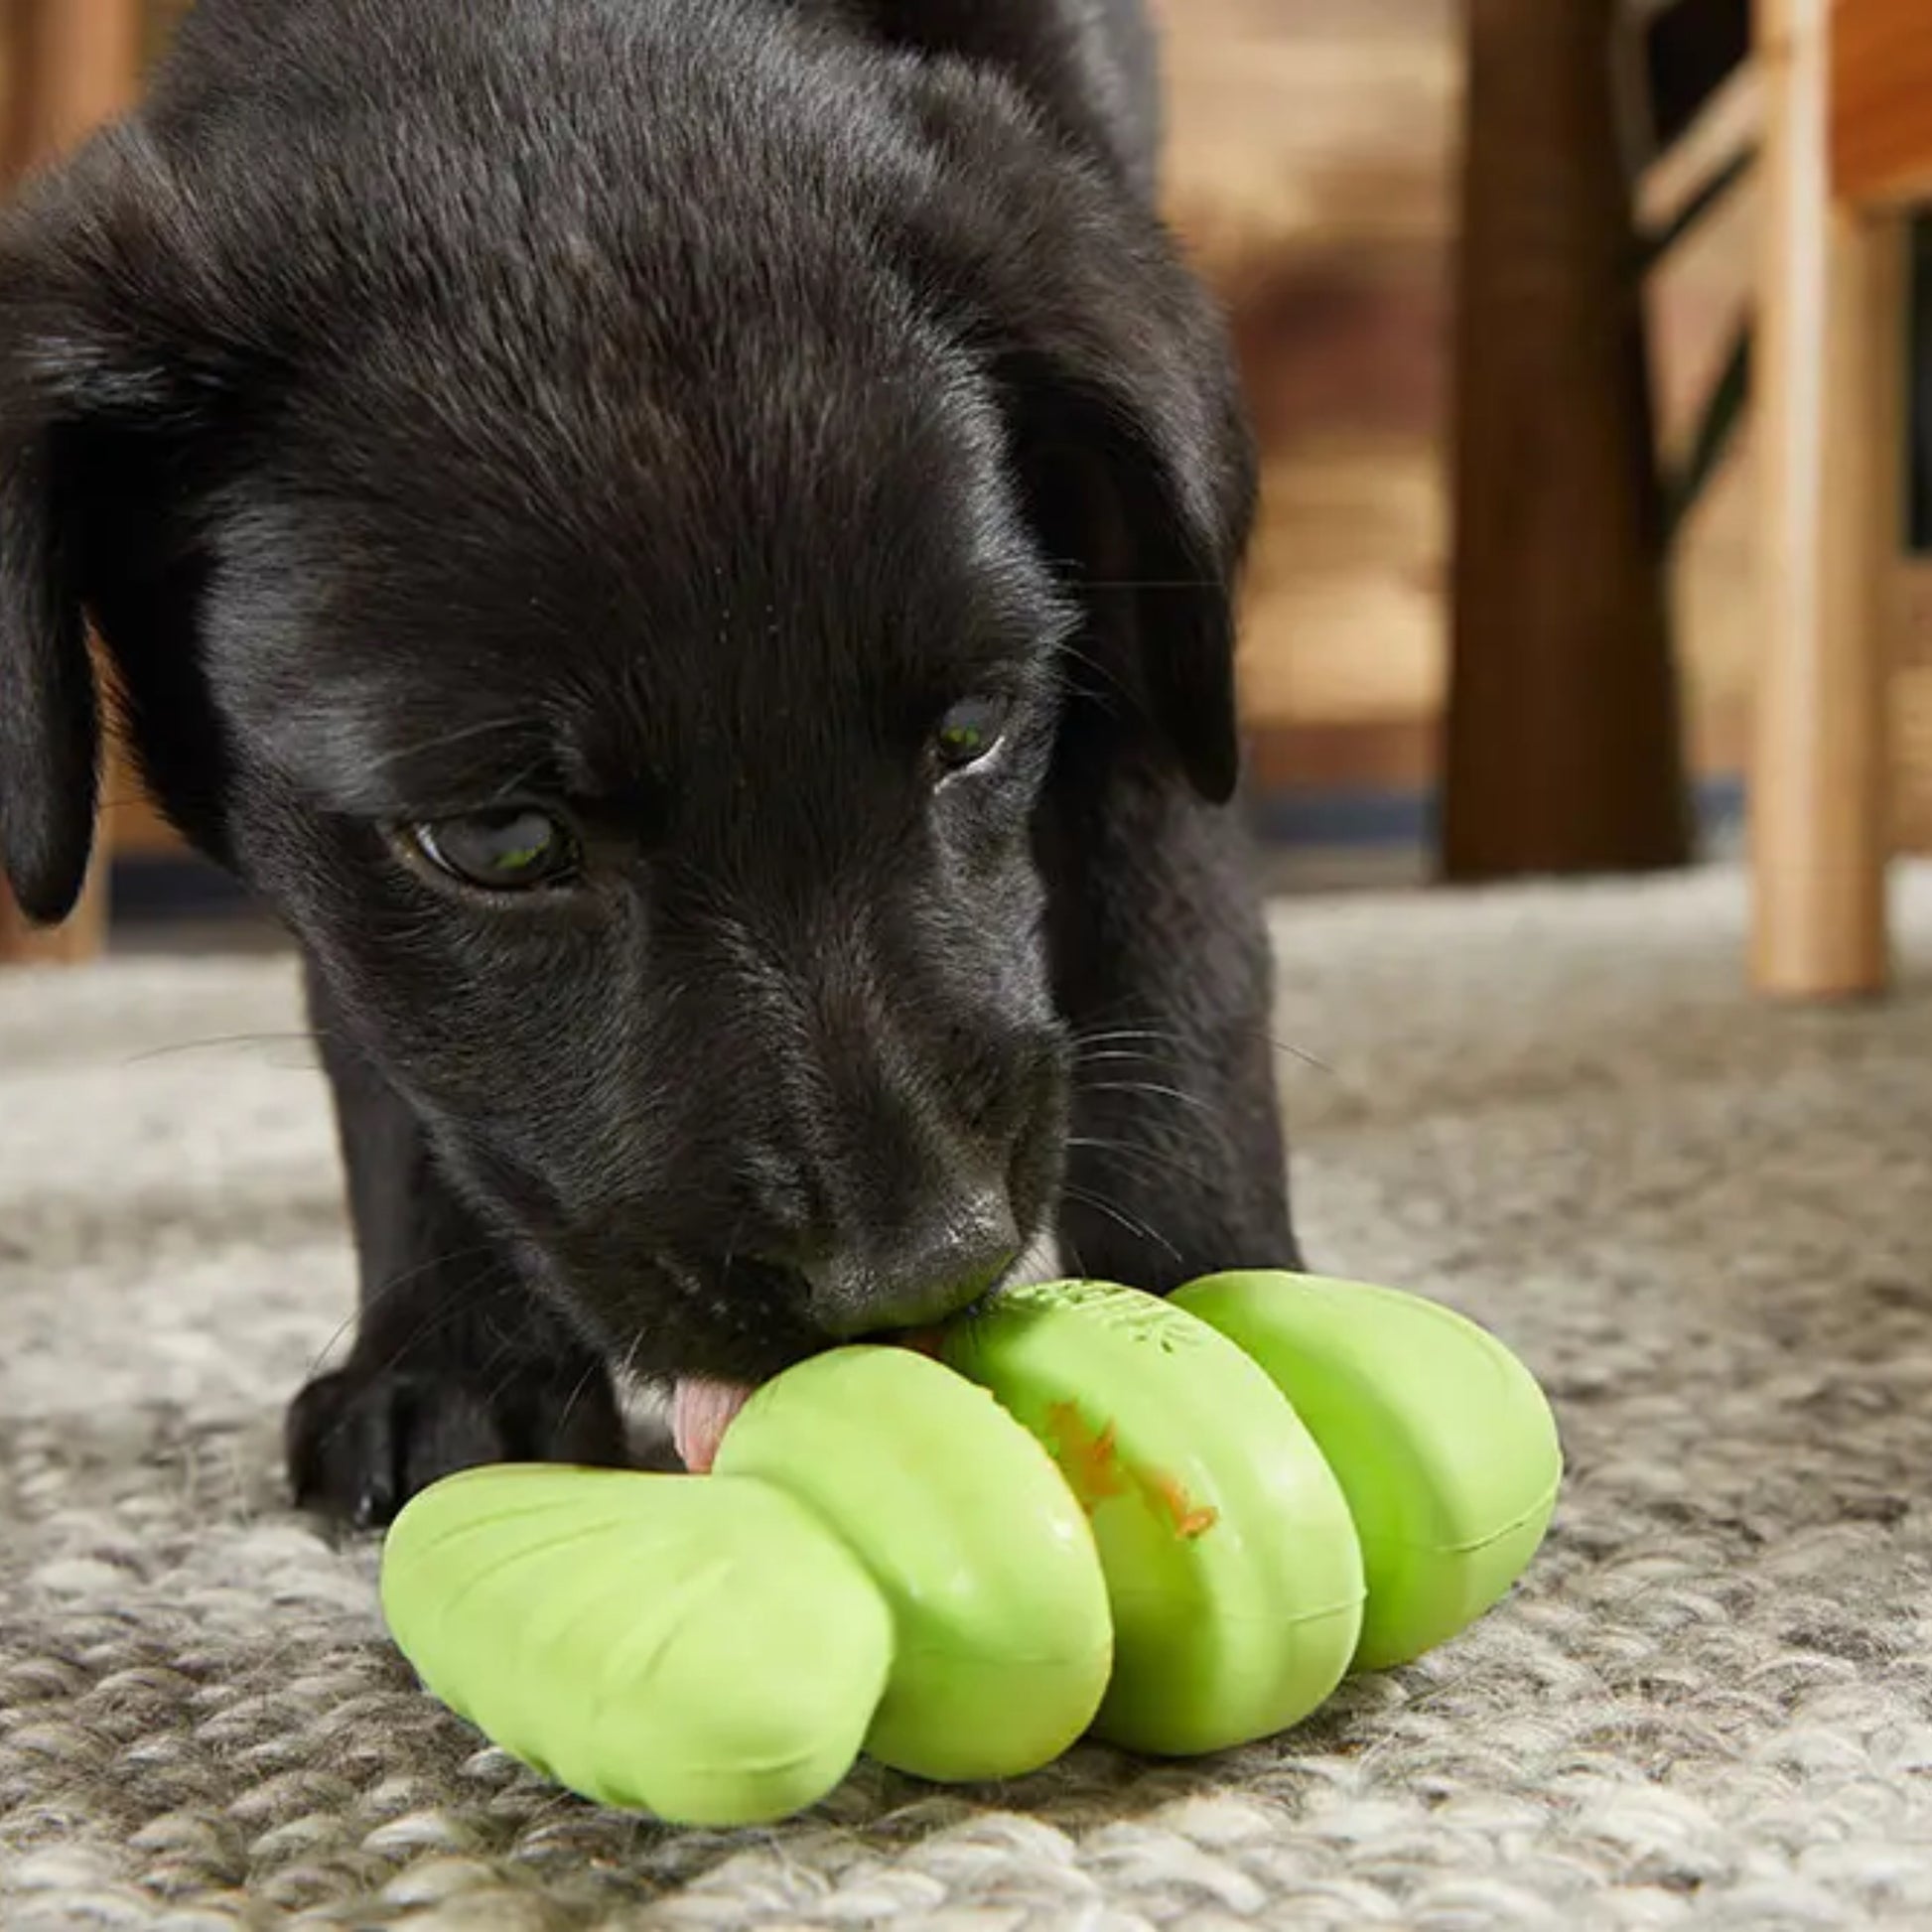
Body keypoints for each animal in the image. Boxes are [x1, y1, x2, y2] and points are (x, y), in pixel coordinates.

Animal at [3, 0, 1298, 1522]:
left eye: (970, 733)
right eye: (497, 841)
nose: (925, 1265)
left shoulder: (1142, 628)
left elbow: (1172, 936)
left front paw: (1207, 1298)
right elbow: (389, 1051)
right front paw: (447, 1359)